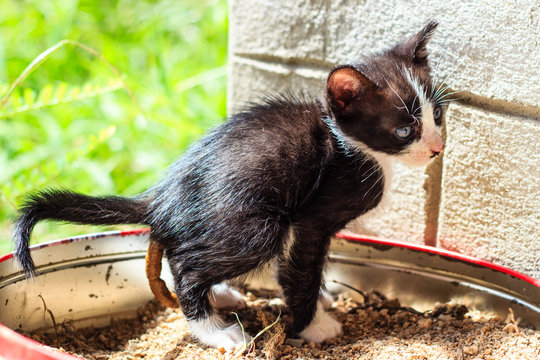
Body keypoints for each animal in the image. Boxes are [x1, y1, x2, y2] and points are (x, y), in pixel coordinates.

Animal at [12, 21, 446, 348]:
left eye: (438, 115)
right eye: (404, 130)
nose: (437, 149)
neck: (346, 142)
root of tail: (162, 199)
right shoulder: (312, 216)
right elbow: (301, 270)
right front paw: (314, 326)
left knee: (182, 253)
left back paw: (219, 294)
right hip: (257, 226)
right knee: (188, 266)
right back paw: (215, 330)